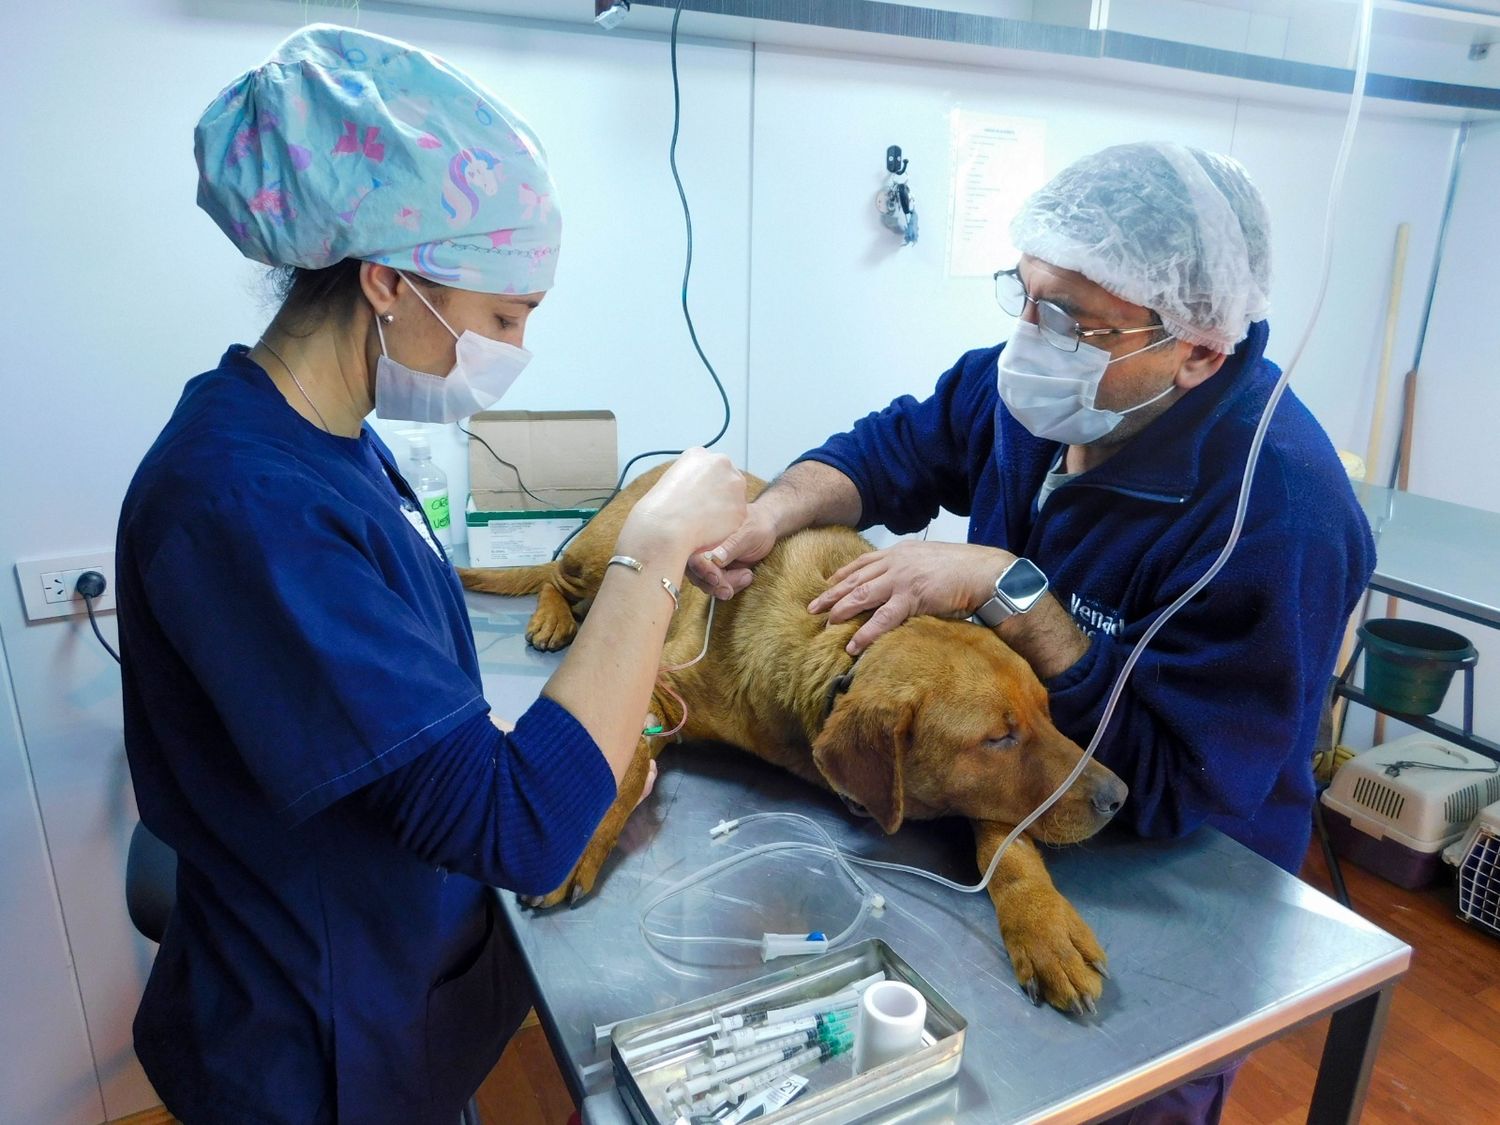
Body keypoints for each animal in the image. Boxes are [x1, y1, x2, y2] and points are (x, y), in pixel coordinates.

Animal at [456, 465, 1128, 1014]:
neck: (841, 649)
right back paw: (553, 616)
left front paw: (1042, 923)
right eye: (997, 738)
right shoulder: (658, 690)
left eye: (1046, 713)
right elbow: (618, 760)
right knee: (558, 578)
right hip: (608, 558)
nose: (1117, 798)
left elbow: (1008, 836)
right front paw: (585, 832)